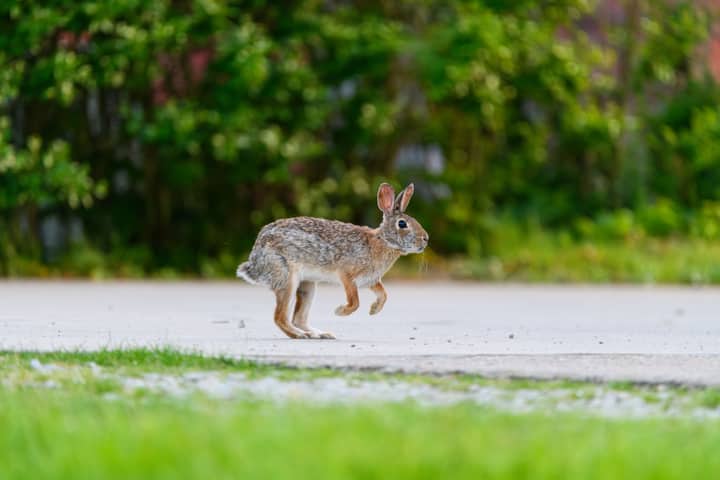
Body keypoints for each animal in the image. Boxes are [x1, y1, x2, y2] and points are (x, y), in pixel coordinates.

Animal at [236, 182, 429, 339]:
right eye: (402, 224)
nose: (426, 239)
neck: (383, 241)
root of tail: (255, 260)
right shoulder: (346, 274)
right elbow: (355, 301)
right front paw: (340, 312)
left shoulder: (371, 280)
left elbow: (384, 294)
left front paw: (374, 310)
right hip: (286, 276)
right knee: (280, 317)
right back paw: (300, 335)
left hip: (308, 285)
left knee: (298, 318)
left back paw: (319, 334)